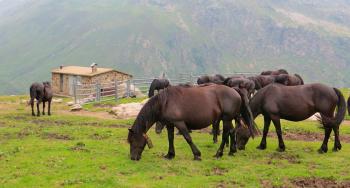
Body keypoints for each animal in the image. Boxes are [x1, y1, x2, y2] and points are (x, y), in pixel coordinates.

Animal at [128, 85, 258, 160]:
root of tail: (234, 90)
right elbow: (170, 138)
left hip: (226, 119)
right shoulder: (170, 124)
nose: (133, 158)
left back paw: (219, 153)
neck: (165, 102)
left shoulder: (179, 123)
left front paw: (197, 154)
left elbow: (188, 138)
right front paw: (170, 154)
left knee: (226, 134)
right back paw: (231, 151)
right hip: (228, 119)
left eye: (133, 141)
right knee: (231, 131)